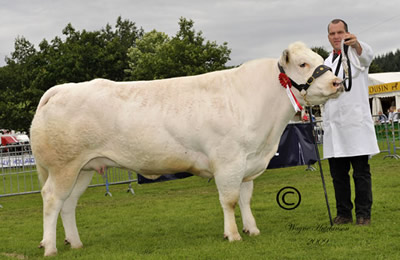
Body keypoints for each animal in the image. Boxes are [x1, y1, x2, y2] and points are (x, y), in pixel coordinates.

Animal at [31, 41, 344, 256]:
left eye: (321, 60)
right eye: (303, 64)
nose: (337, 82)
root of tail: (61, 89)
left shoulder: (248, 163)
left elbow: (245, 199)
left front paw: (251, 229)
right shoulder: (228, 161)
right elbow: (229, 200)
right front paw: (232, 235)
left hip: (83, 168)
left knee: (68, 203)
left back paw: (75, 242)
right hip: (63, 166)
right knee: (51, 199)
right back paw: (50, 247)